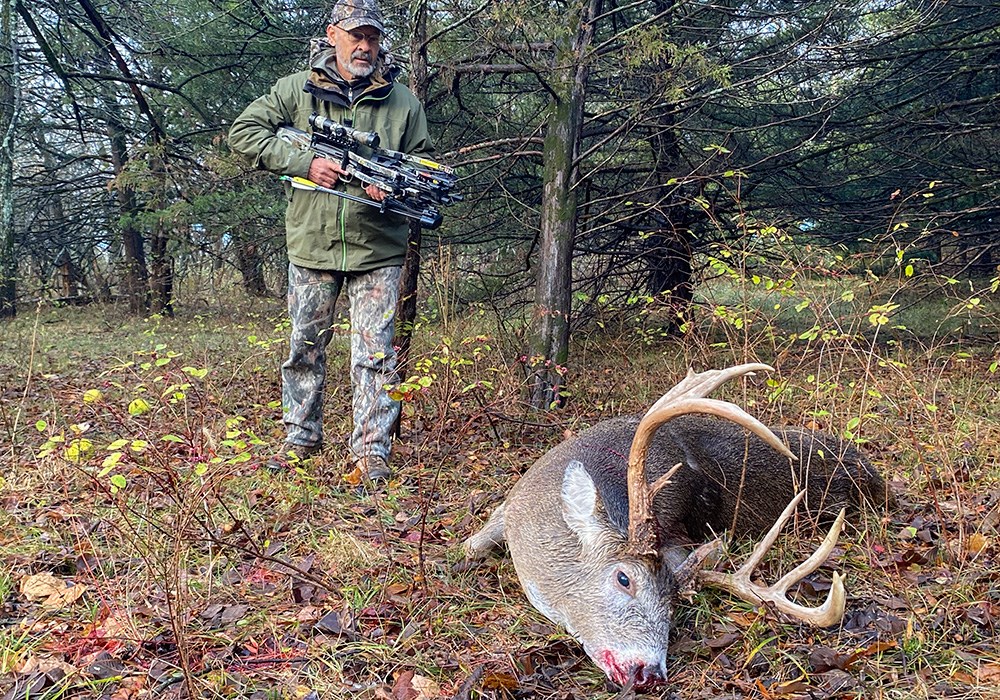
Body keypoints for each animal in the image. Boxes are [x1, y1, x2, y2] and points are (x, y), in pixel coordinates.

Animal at [462, 366, 892, 688]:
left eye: (671, 599)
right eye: (624, 578)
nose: (648, 672)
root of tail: (878, 478)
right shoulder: (510, 504)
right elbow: (473, 543)